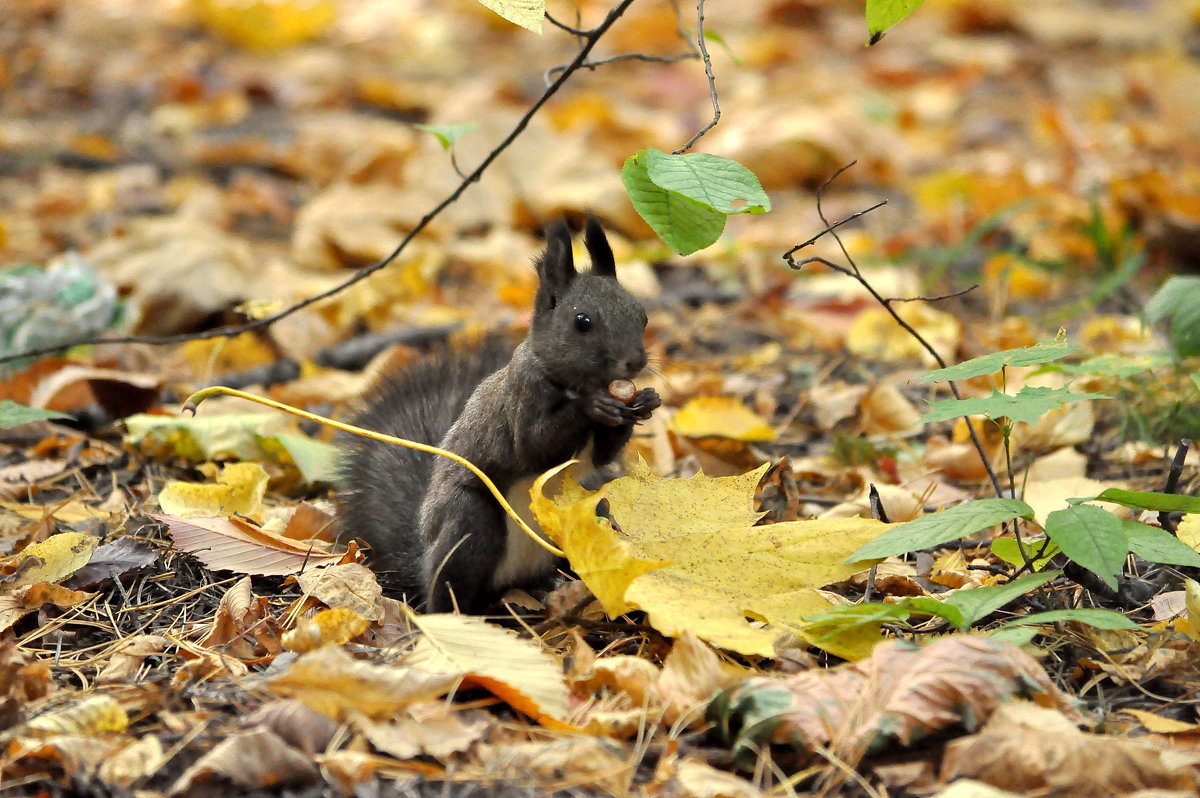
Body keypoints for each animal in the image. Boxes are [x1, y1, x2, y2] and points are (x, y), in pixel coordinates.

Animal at [333, 220, 662, 612]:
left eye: (642, 315)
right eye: (582, 322)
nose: (635, 362)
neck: (571, 381)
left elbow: (602, 454)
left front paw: (645, 401)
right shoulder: (522, 395)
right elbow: (536, 448)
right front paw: (592, 406)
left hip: (593, 504)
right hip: (469, 521)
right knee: (450, 584)